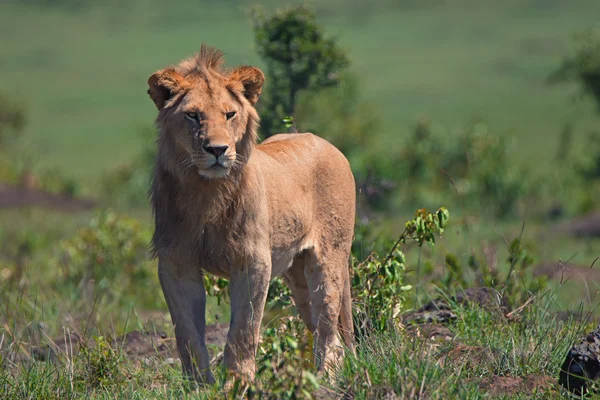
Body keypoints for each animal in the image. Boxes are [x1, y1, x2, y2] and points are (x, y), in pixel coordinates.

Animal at [147, 44, 356, 384]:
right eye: (192, 115)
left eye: (230, 114)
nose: (217, 150)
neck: (207, 193)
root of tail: (327, 144)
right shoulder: (176, 263)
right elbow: (187, 334)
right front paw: (200, 386)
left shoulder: (252, 261)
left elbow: (243, 330)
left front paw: (237, 383)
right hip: (296, 271)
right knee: (314, 321)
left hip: (330, 258)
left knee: (329, 324)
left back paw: (325, 378)